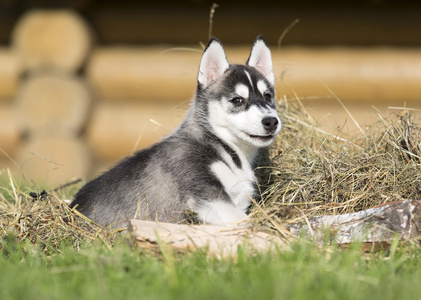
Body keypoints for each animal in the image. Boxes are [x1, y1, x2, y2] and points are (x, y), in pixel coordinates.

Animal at [70, 35, 280, 227]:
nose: (271, 122)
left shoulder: (237, 197)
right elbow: (247, 222)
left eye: (268, 97)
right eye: (237, 100)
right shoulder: (206, 194)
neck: (226, 149)